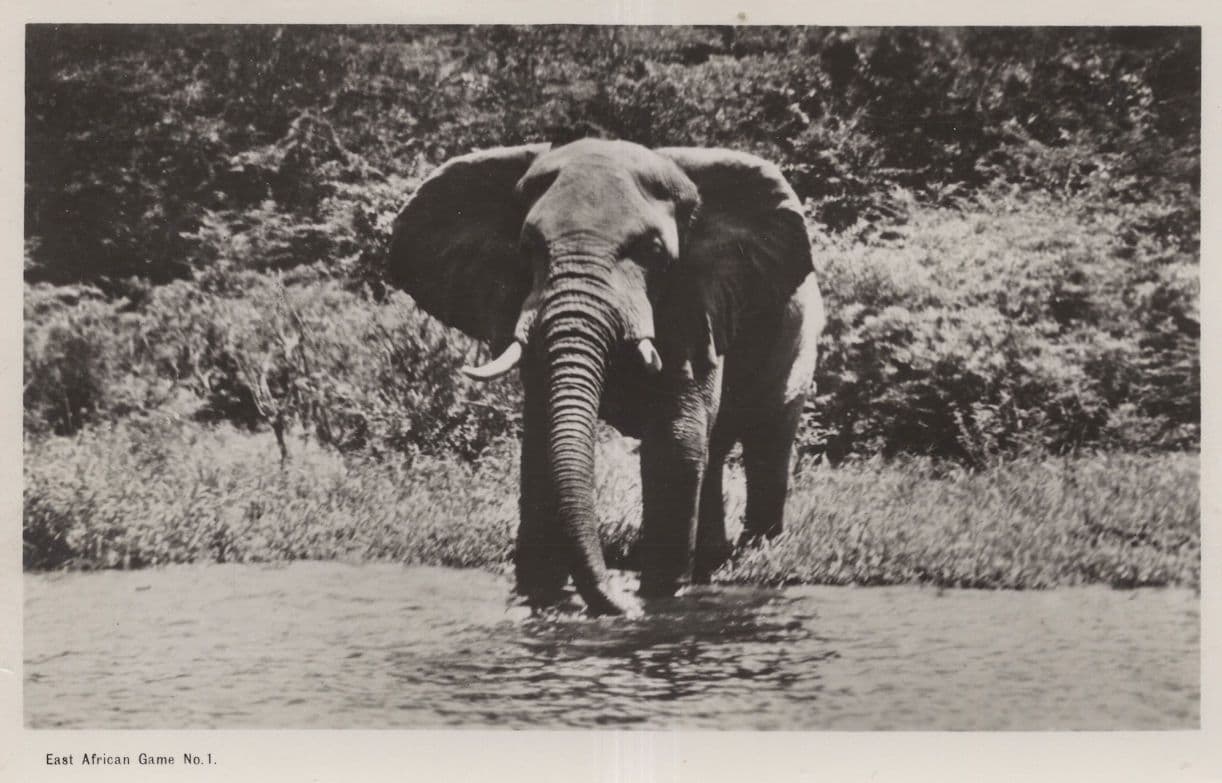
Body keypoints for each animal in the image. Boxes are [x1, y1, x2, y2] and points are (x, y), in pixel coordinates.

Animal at [387, 139, 824, 615]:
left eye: (653, 253)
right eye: (528, 247)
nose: (620, 601)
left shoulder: (693, 299)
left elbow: (673, 439)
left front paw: (658, 601)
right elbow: (541, 441)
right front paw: (542, 599)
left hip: (799, 340)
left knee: (767, 439)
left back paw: (757, 555)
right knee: (714, 449)